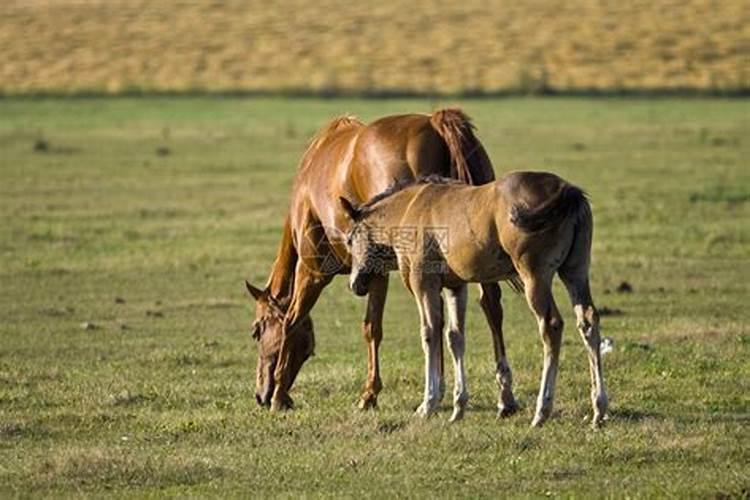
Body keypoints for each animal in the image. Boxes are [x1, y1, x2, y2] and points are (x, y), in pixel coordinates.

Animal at [247, 109, 524, 414]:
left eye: (257, 331)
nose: (260, 395)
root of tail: (434, 122)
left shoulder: (313, 271)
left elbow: (293, 321)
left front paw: (280, 394)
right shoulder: (374, 272)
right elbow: (372, 327)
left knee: (437, 316)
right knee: (491, 306)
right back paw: (504, 396)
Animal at [344, 173, 608, 426]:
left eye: (349, 240)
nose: (355, 284)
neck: (409, 208)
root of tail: (567, 190)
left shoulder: (423, 283)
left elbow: (429, 333)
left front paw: (427, 404)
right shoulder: (455, 286)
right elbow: (455, 337)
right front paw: (458, 408)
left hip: (535, 276)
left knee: (551, 325)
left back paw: (542, 411)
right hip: (575, 271)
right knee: (588, 321)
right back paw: (598, 409)